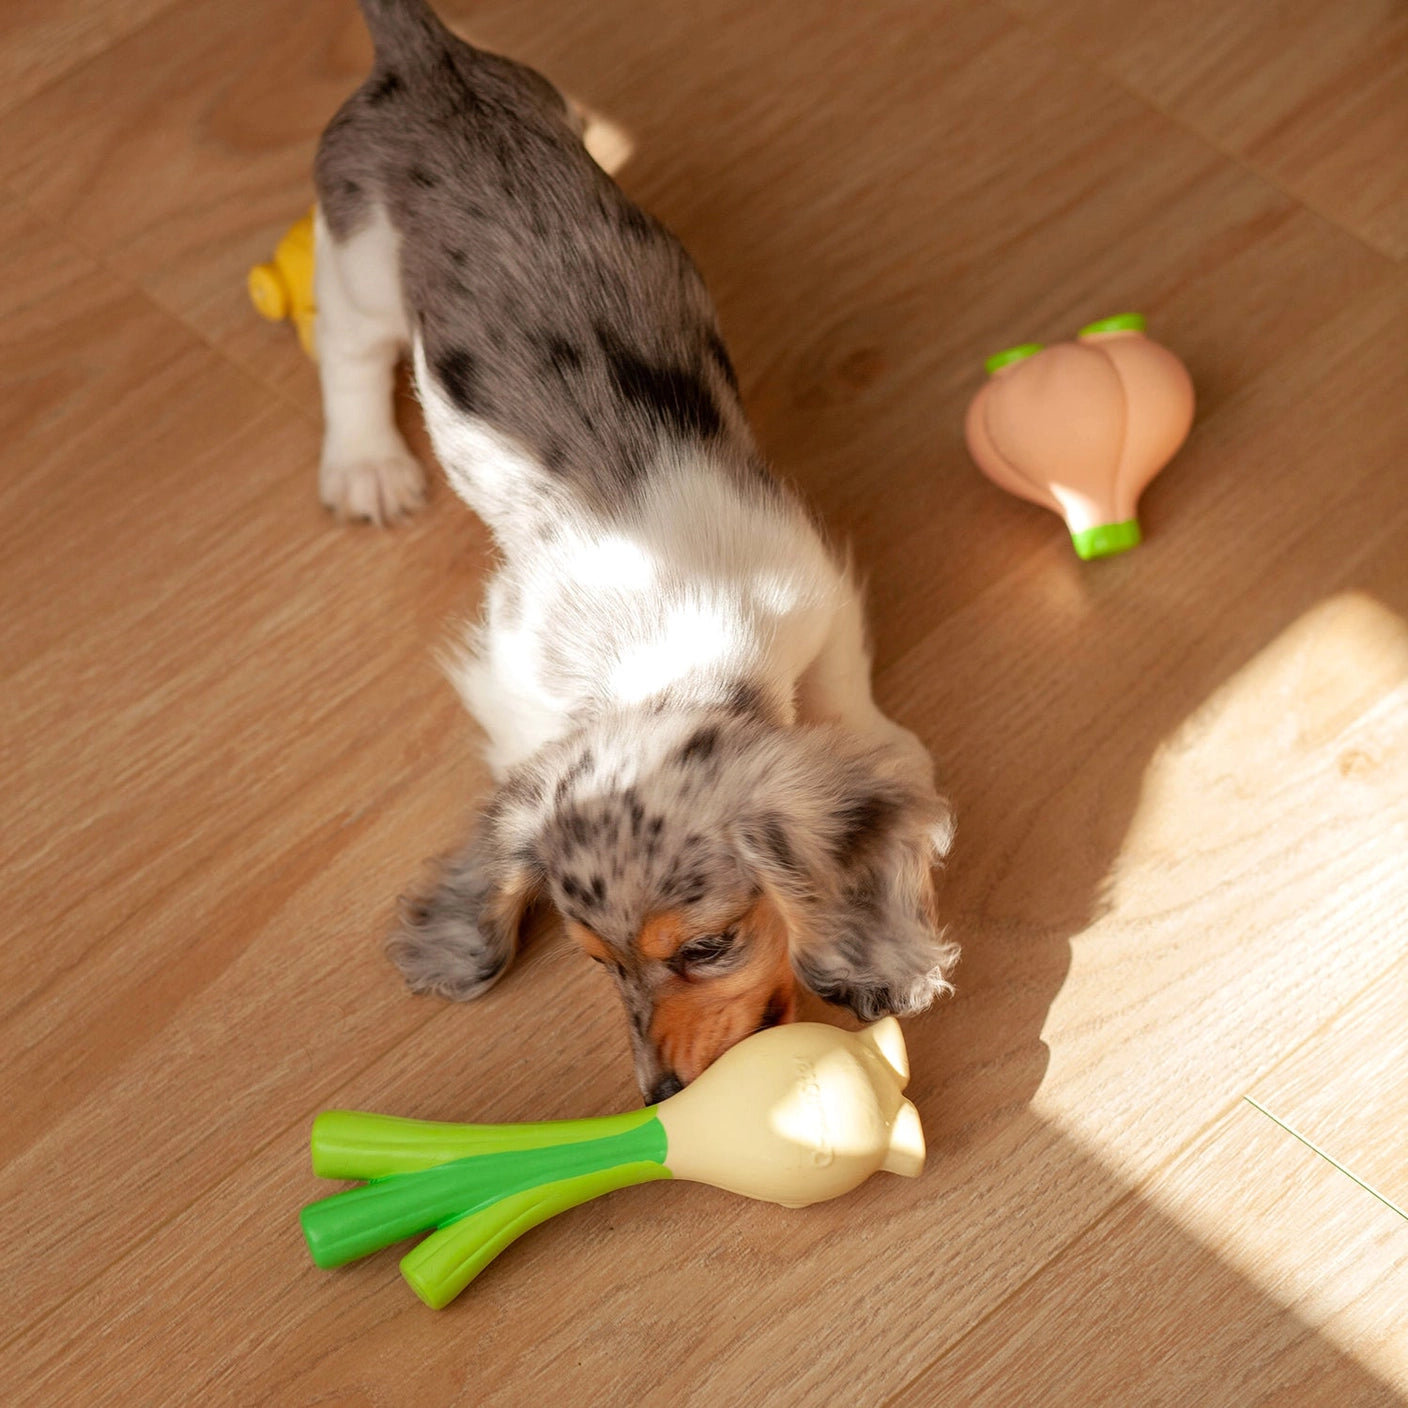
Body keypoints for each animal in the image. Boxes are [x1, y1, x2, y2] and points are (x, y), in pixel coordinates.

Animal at [316, 0, 957, 1098]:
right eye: (594, 963)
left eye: (705, 947)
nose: (660, 1097)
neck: (670, 642)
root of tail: (424, 54)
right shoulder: (506, 665)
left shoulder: (816, 591)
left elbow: (855, 703)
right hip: (354, 258)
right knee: (347, 356)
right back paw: (365, 465)